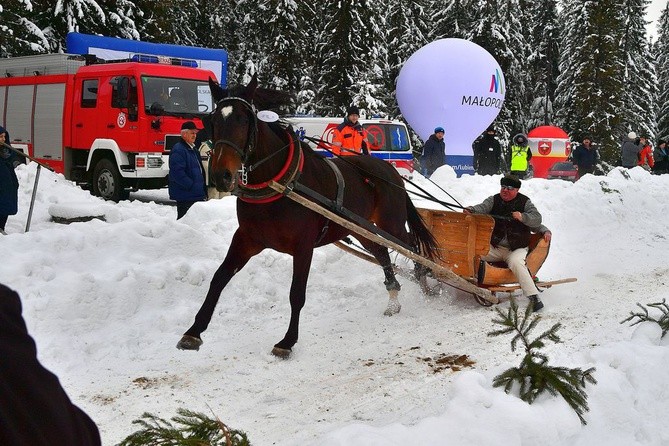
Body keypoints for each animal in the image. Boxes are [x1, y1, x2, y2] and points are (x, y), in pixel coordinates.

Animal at [176, 75, 438, 358]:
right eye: (212, 121)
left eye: (244, 120)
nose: (220, 175)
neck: (279, 183)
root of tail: (389, 171)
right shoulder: (247, 239)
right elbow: (219, 278)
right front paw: (194, 331)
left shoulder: (303, 246)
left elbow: (296, 294)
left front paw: (287, 340)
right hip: (360, 228)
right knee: (382, 253)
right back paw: (393, 298)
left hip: (390, 223)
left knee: (412, 246)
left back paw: (425, 283)